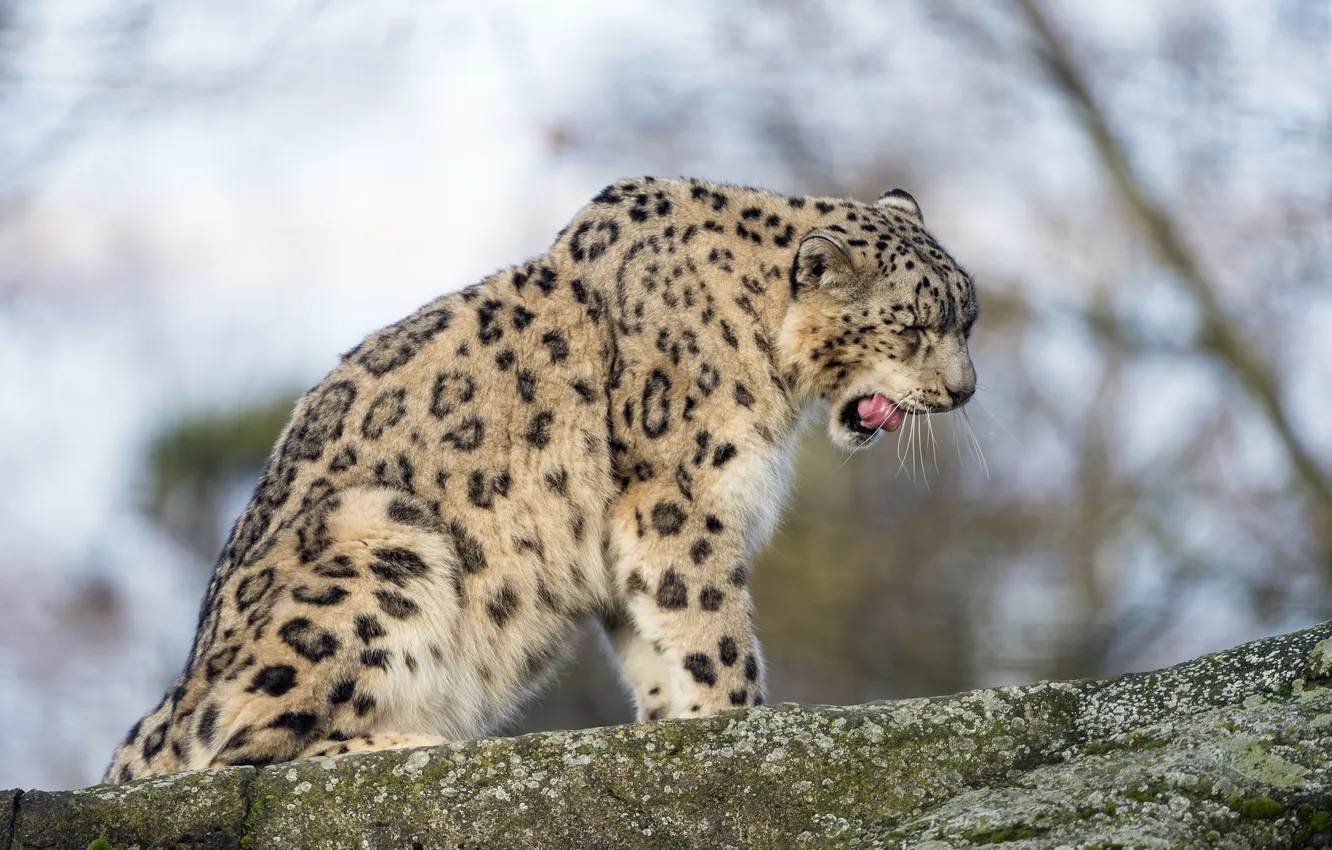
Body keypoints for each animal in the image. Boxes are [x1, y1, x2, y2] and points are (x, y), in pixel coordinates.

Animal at [103, 176, 978, 782]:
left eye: (965, 319)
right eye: (910, 324)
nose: (964, 391)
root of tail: (177, 694)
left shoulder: (639, 540)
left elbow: (656, 643)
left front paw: (671, 728)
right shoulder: (678, 502)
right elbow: (712, 630)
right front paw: (738, 720)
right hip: (381, 541)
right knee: (237, 745)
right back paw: (404, 741)